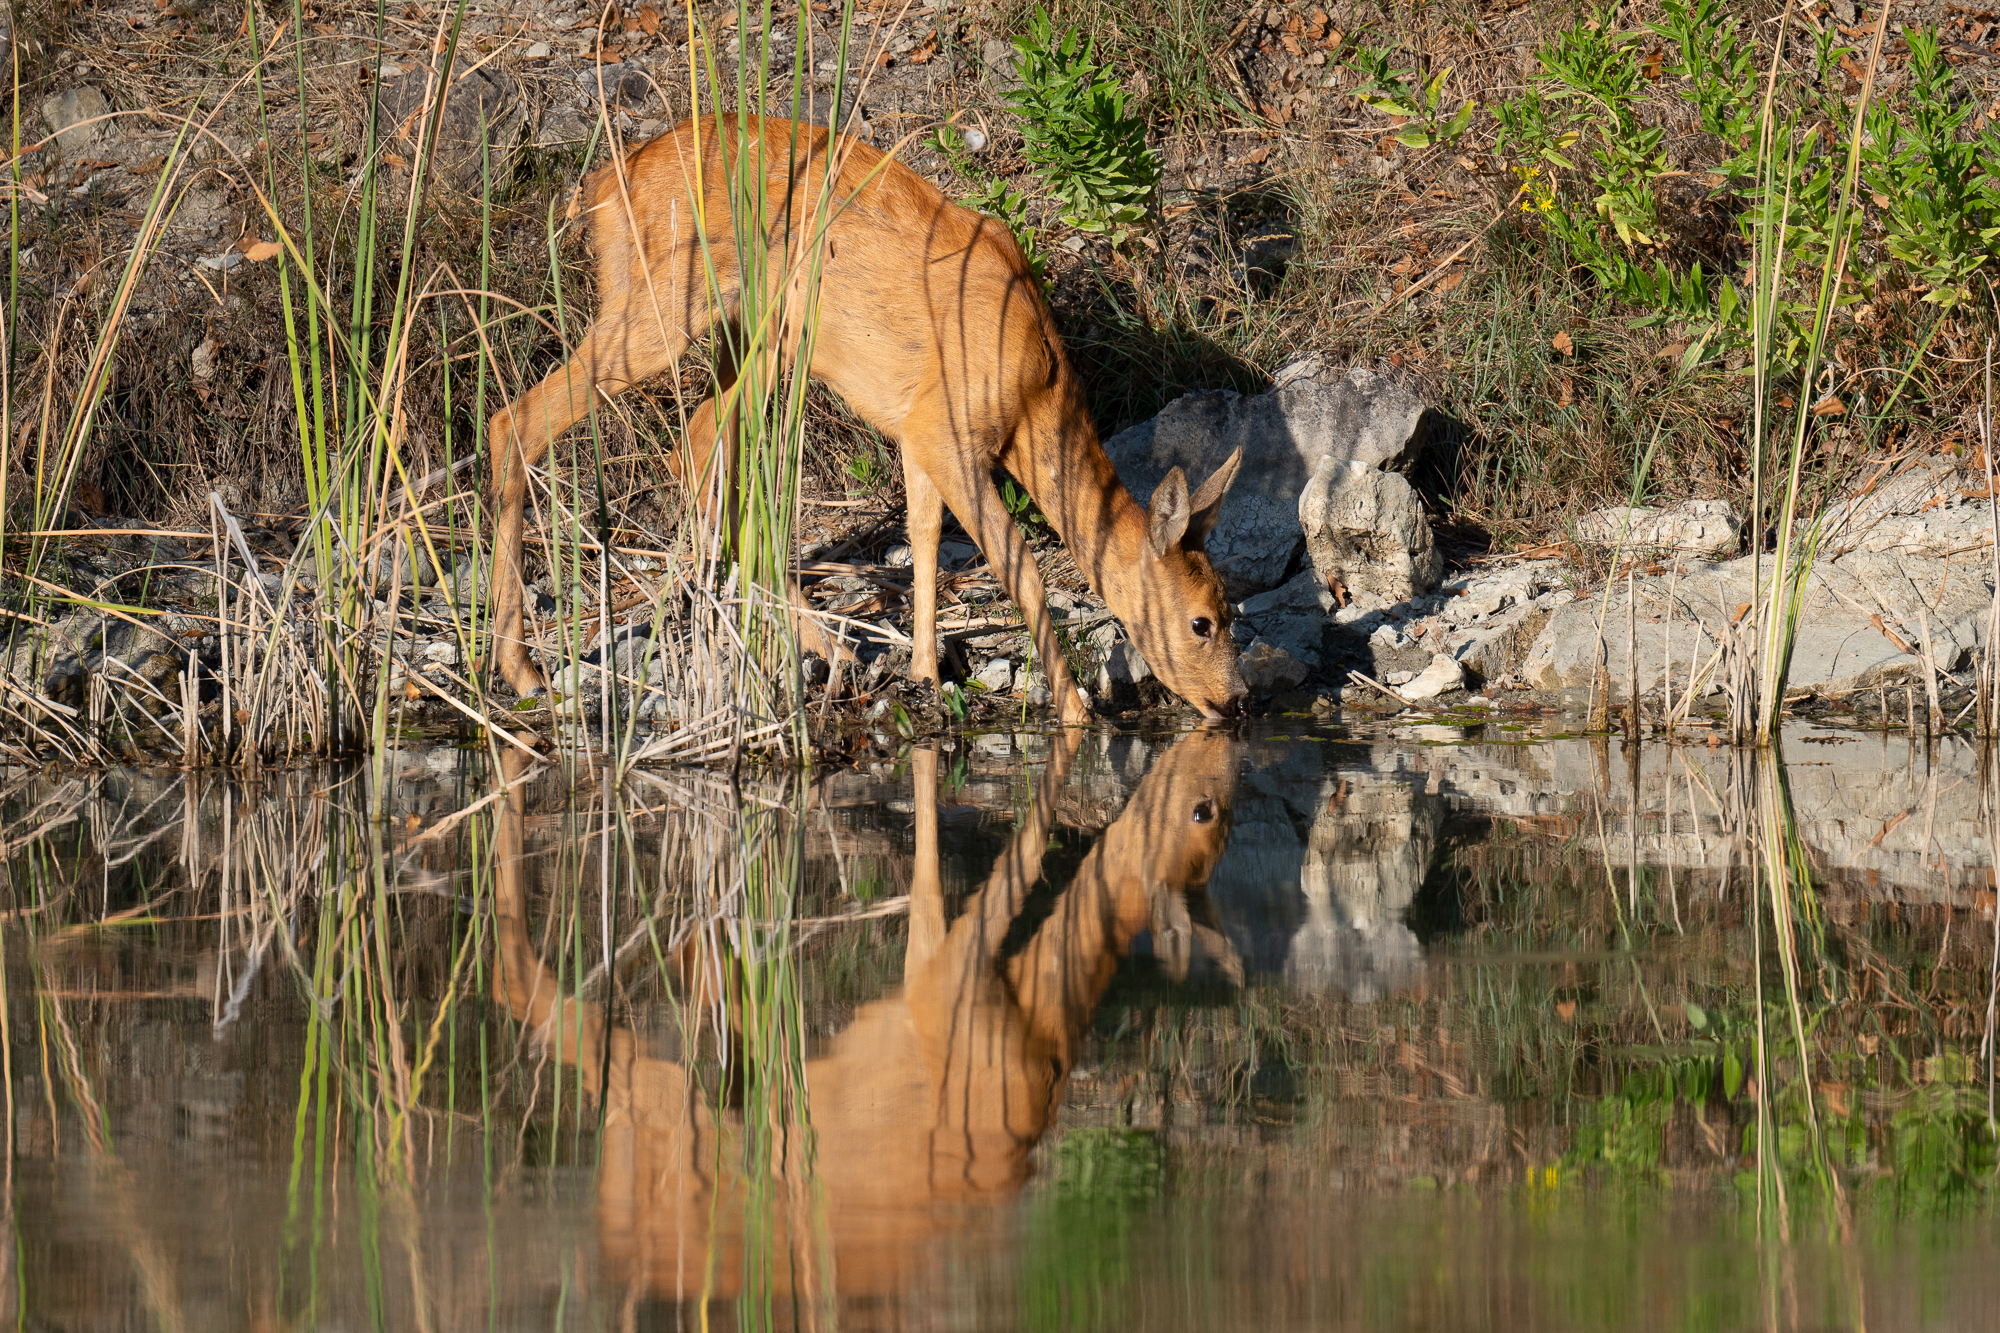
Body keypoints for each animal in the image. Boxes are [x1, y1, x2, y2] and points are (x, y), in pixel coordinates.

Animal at [486, 114, 1248, 724]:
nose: (1236, 700)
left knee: (701, 443)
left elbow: (924, 538)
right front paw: (1075, 713)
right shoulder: (947, 431)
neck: (1036, 392)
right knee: (539, 420)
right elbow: (1018, 562)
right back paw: (524, 670)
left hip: (747, 331)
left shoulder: (916, 432)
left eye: (1231, 607)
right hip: (677, 305)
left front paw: (925, 673)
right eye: (1202, 622)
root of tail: (603, 189)